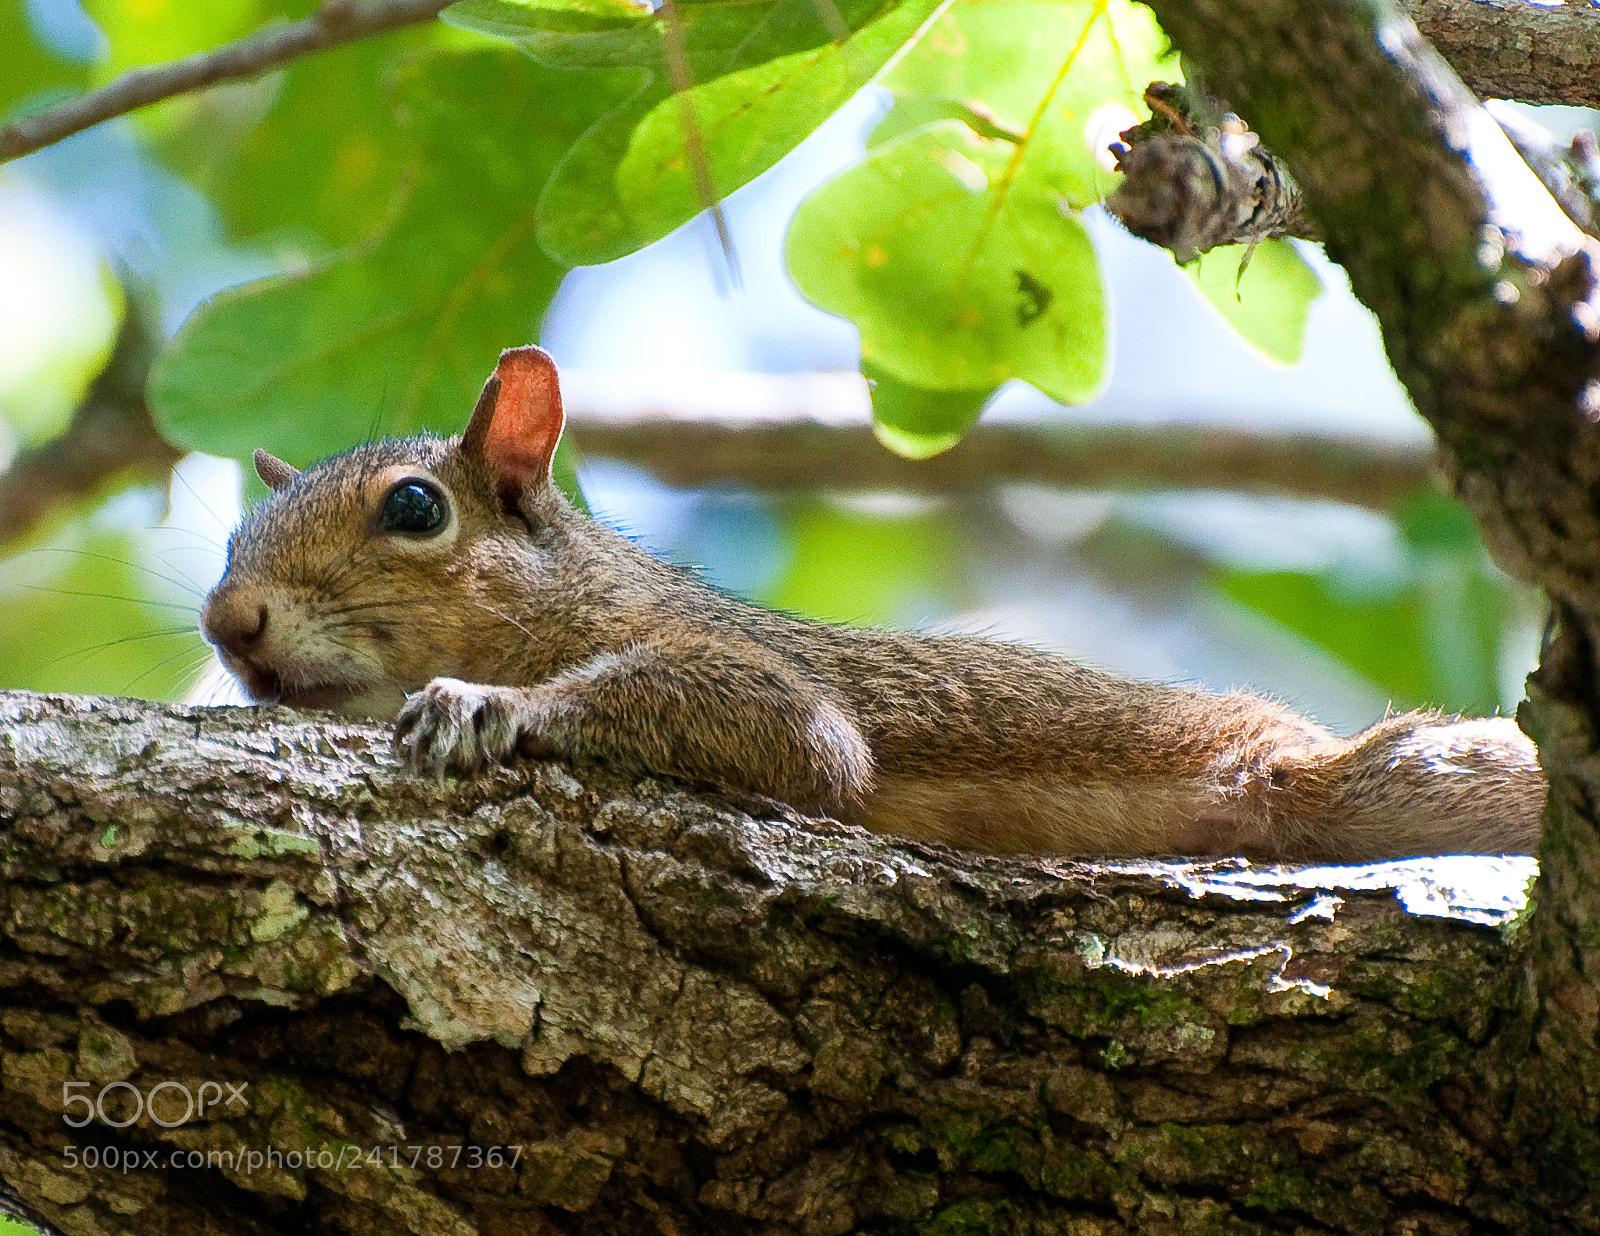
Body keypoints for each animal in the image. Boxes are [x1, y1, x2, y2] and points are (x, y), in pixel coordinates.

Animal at [199, 346, 1546, 862]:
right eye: (229, 535)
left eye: (416, 509)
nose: (229, 626)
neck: (582, 597)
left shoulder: (743, 674)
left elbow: (803, 737)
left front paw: (486, 703)